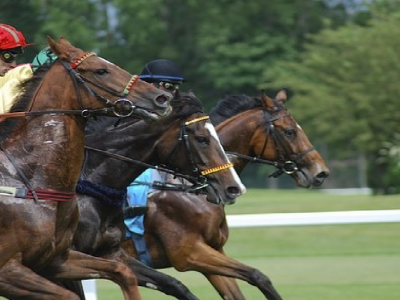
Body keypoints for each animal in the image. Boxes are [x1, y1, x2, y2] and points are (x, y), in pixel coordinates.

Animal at [120, 89, 330, 300]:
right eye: (289, 132)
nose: (321, 172)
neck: (189, 189)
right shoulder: (189, 253)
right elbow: (258, 276)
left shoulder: (213, 249)